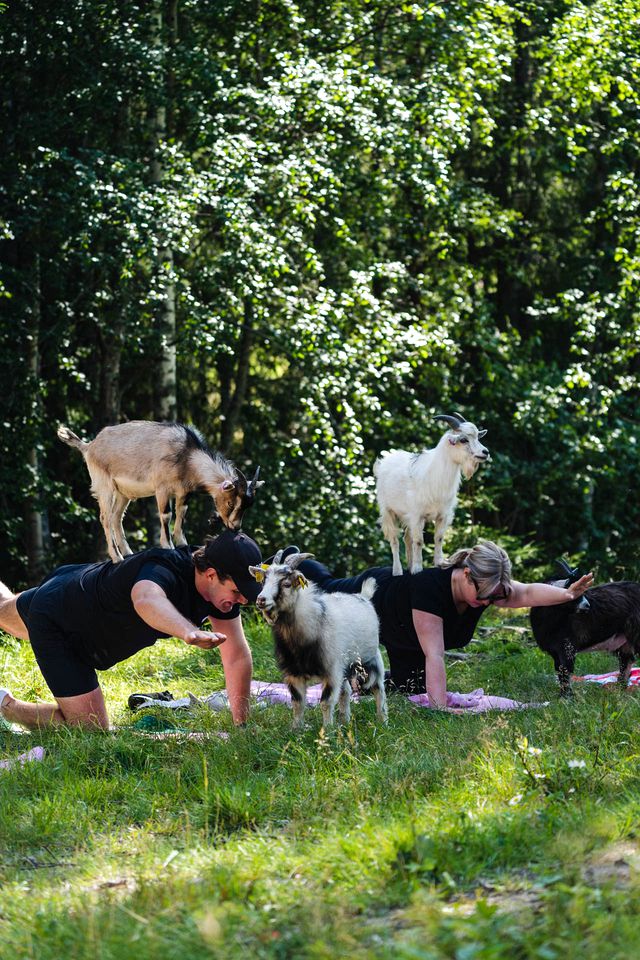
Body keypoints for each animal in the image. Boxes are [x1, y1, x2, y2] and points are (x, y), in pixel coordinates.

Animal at [57, 420, 262, 564]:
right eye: (230, 502)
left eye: (247, 505)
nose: (235, 527)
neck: (187, 456)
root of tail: (89, 446)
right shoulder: (162, 488)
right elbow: (166, 515)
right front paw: (168, 546)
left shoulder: (183, 492)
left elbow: (182, 513)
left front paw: (182, 543)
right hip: (104, 486)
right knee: (105, 518)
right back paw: (117, 557)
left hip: (123, 493)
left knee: (116, 517)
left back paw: (128, 553)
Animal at [250, 556, 388, 728]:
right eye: (264, 581)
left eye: (286, 584)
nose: (261, 600)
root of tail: (364, 596)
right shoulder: (293, 673)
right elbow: (297, 702)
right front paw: (296, 728)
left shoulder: (331, 671)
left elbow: (326, 702)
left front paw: (327, 729)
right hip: (345, 667)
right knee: (346, 691)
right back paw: (345, 721)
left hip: (371, 659)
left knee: (379, 689)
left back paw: (383, 721)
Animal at [372, 408, 488, 572]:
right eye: (464, 439)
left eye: (478, 437)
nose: (485, 452)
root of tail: (383, 463)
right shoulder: (417, 515)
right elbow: (419, 541)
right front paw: (417, 569)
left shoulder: (442, 515)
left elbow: (438, 538)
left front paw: (439, 563)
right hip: (388, 511)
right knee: (394, 540)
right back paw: (398, 570)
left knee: (406, 537)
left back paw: (409, 565)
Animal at [528, 560, 640, 692]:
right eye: (574, 590)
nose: (587, 605)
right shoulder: (555, 651)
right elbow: (560, 671)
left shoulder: (567, 647)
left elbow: (565, 670)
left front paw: (567, 695)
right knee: (626, 660)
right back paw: (620, 688)